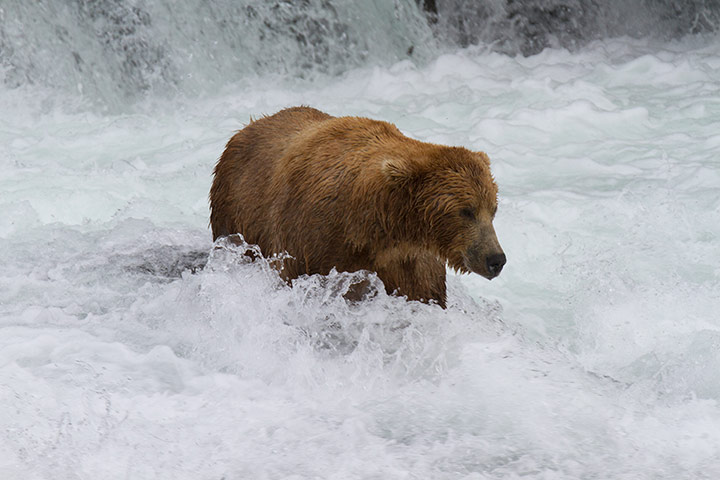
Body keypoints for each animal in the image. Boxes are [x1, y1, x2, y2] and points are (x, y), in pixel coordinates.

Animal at [209, 106, 505, 308]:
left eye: (492, 209)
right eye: (466, 210)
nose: (495, 259)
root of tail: (248, 126)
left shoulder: (410, 264)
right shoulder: (312, 245)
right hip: (235, 213)